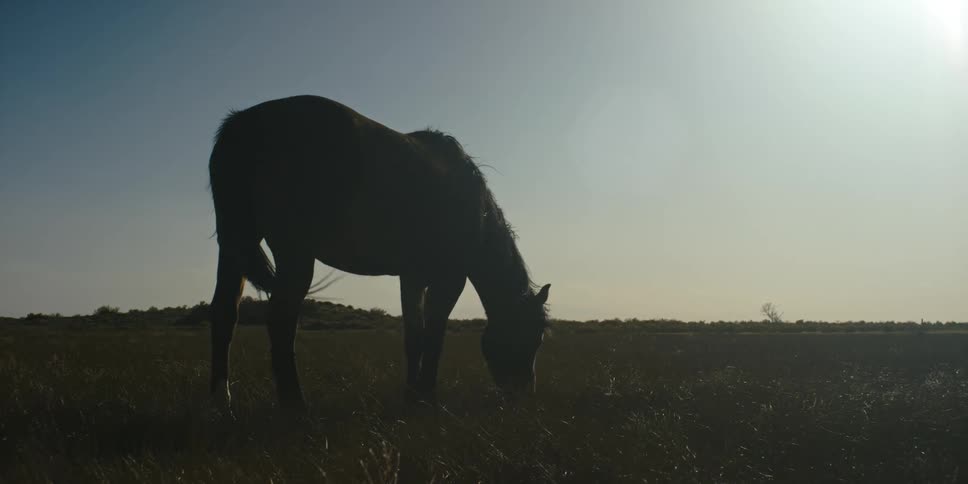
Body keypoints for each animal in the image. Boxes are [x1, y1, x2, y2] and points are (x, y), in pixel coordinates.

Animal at [207, 95, 550, 408]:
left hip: (236, 244)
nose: (524, 393)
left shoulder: (412, 278)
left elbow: (414, 337)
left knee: (224, 312)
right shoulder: (449, 280)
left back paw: (222, 402)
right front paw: (426, 395)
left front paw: (411, 395)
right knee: (281, 320)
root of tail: (245, 122)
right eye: (534, 336)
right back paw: (295, 404)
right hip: (294, 252)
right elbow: (435, 334)